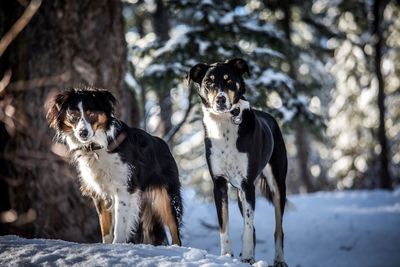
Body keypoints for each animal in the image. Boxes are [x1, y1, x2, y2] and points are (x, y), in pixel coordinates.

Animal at [47, 88, 183, 247]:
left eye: (91, 114)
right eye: (73, 115)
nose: (83, 133)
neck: (97, 147)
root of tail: (164, 145)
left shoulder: (124, 190)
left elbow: (119, 225)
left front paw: (118, 245)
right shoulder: (100, 194)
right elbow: (105, 229)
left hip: (166, 198)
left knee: (175, 230)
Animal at [188, 58, 288, 266]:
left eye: (229, 80)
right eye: (208, 82)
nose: (220, 99)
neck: (224, 125)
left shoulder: (248, 184)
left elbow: (248, 227)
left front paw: (248, 256)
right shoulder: (219, 184)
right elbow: (223, 224)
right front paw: (227, 255)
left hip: (277, 186)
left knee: (278, 229)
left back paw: (279, 259)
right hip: (240, 194)